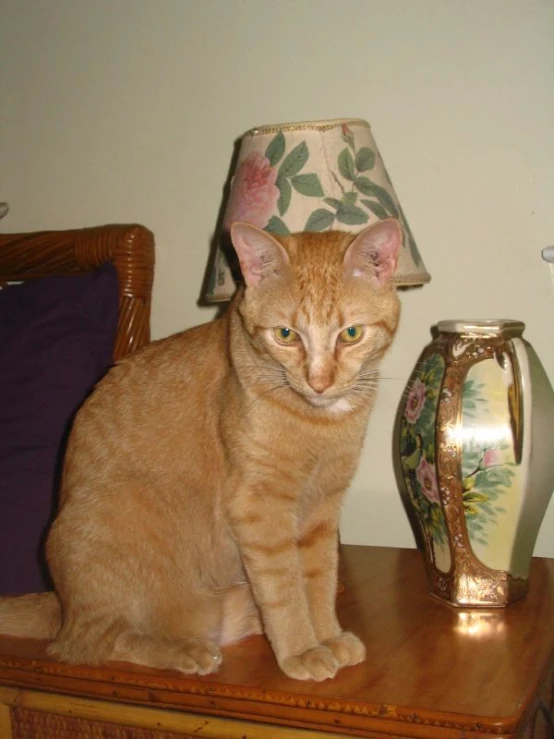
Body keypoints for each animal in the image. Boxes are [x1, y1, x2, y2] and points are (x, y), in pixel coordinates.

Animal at [0, 218, 398, 684]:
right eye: (286, 334)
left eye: (351, 334)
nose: (319, 382)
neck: (318, 422)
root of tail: (59, 604)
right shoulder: (259, 509)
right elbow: (285, 588)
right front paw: (302, 649)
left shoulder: (322, 510)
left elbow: (318, 581)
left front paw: (328, 637)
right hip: (116, 523)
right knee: (97, 641)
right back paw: (185, 651)